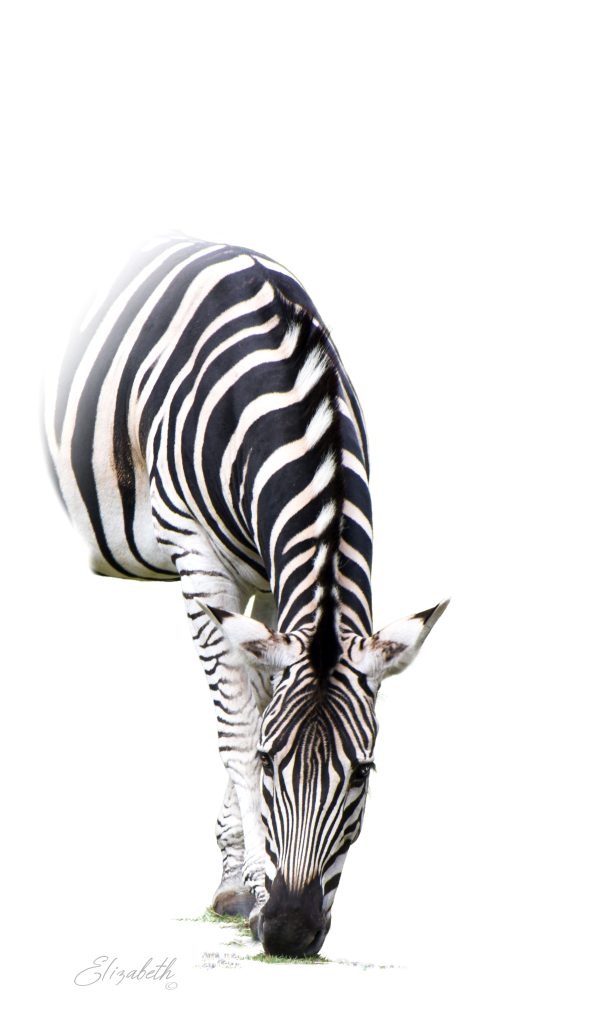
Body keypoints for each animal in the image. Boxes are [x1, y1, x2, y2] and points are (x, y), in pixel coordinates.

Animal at [44, 234, 448, 957]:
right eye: (269, 762)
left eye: (364, 773)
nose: (289, 931)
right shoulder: (198, 557)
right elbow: (235, 726)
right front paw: (250, 888)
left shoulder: (266, 580)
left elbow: (255, 701)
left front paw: (236, 882)